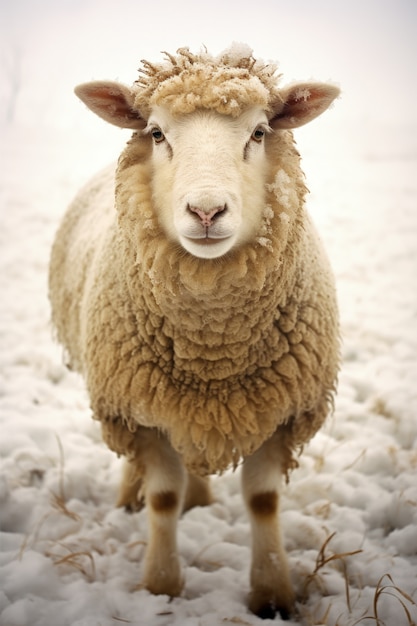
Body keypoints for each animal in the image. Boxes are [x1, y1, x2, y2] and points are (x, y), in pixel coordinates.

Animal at [48, 45, 340, 620]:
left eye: (259, 132)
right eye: (157, 133)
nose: (207, 211)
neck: (212, 355)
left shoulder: (284, 412)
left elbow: (263, 500)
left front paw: (272, 594)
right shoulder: (138, 410)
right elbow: (163, 496)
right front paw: (161, 586)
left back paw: (200, 497)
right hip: (121, 396)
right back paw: (132, 496)